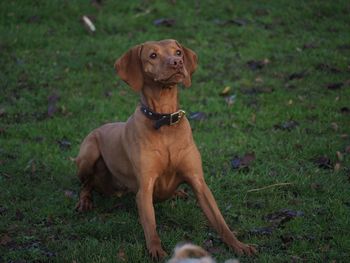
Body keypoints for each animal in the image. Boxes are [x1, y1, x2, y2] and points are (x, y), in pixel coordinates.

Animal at [75, 39, 258, 262]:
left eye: (178, 52)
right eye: (153, 55)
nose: (177, 62)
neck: (164, 121)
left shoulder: (199, 182)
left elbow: (220, 221)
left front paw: (239, 245)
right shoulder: (144, 189)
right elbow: (150, 225)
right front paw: (156, 250)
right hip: (88, 154)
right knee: (86, 183)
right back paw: (85, 201)